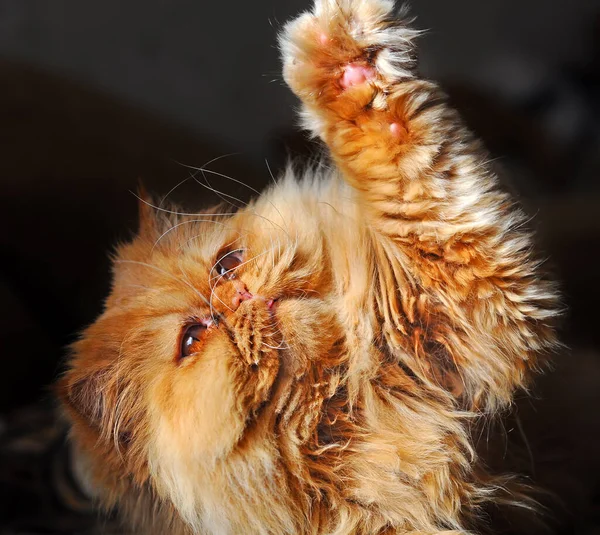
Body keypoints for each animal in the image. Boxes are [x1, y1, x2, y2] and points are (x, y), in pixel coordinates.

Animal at [56, 1, 556, 535]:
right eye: (191, 339)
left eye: (227, 265)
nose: (239, 296)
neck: (347, 411)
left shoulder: (465, 310)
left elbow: (404, 164)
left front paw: (348, 65)